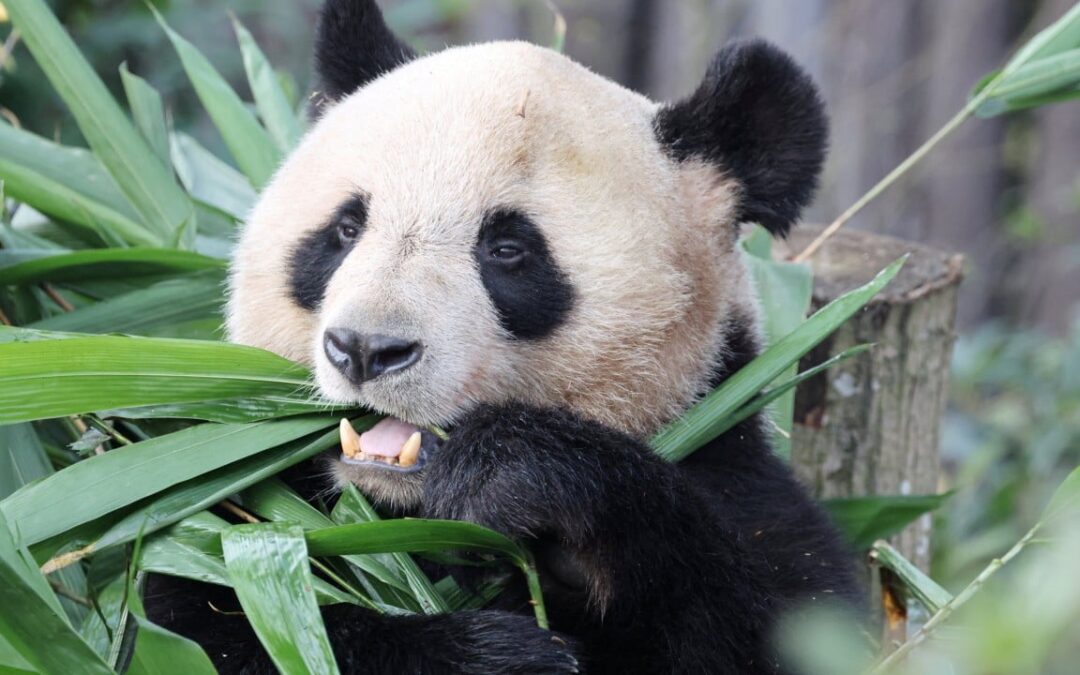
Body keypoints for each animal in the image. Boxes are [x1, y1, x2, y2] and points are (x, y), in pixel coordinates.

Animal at [145, 0, 862, 672]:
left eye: (508, 249)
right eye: (345, 229)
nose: (367, 350)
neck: (403, 508)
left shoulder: (733, 462)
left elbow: (782, 621)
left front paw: (512, 471)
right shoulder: (227, 495)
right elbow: (207, 613)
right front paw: (497, 655)